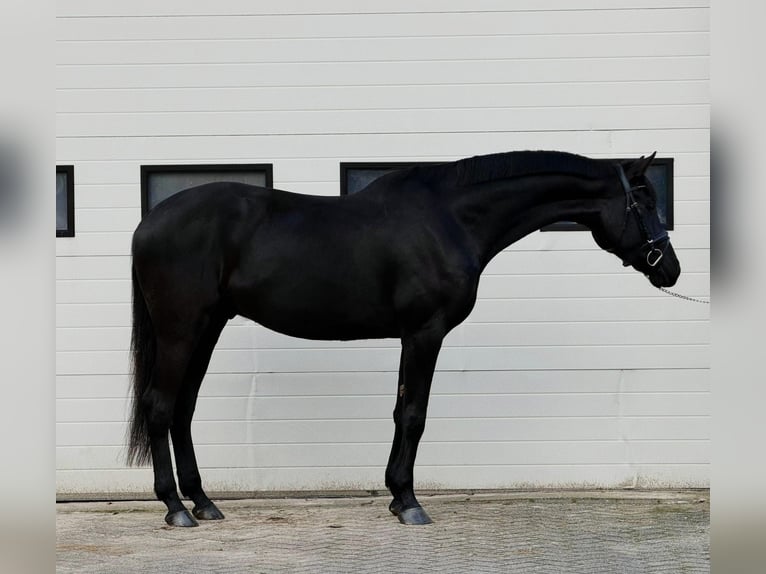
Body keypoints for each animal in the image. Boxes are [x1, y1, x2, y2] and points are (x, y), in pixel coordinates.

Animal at [127, 150, 680, 527]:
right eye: (645, 200)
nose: (670, 269)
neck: (451, 218)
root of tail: (148, 223)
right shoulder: (423, 333)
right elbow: (413, 413)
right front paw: (409, 503)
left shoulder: (411, 337)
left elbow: (400, 410)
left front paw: (397, 496)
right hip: (181, 329)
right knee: (160, 405)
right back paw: (175, 508)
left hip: (208, 327)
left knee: (182, 409)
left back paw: (203, 502)